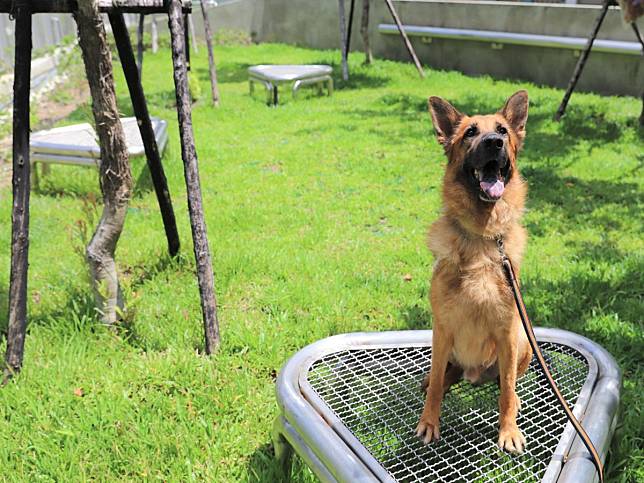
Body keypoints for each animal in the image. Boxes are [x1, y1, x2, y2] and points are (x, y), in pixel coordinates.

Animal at [418, 91, 532, 454]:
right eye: (470, 132)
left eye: (502, 130)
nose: (494, 142)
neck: (482, 237)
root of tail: (473, 374)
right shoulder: (442, 328)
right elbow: (437, 384)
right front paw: (429, 421)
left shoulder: (507, 332)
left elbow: (507, 389)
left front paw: (508, 430)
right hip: (443, 345)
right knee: (441, 376)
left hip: (522, 340)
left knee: (508, 382)